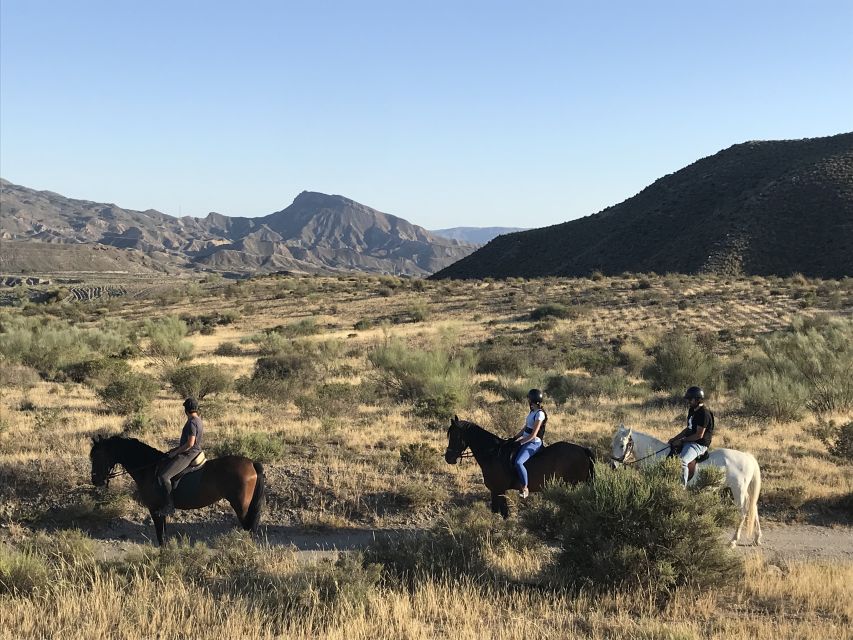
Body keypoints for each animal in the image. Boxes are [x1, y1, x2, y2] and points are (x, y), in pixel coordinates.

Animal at [89, 436, 262, 544]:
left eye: (97, 456)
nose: (95, 480)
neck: (148, 468)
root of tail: (252, 463)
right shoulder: (160, 511)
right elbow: (163, 535)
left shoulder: (155, 509)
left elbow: (160, 537)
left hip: (241, 506)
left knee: (249, 528)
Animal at [442, 416, 596, 516]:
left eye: (455, 436)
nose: (448, 458)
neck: (492, 453)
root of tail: (583, 449)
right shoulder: (494, 491)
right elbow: (495, 512)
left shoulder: (499, 490)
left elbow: (504, 514)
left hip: (573, 485)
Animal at [608, 422, 764, 548]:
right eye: (612, 445)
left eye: (622, 445)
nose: (613, 466)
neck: (656, 455)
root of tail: (748, 456)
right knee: (753, 506)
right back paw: (757, 538)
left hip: (738, 490)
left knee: (743, 511)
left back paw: (733, 541)